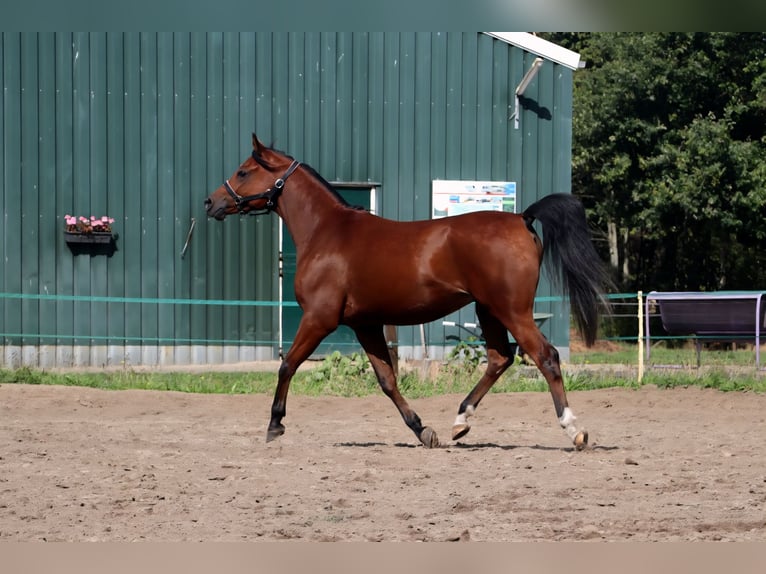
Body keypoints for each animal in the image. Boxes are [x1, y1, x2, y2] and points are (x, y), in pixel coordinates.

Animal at [205, 134, 612, 450]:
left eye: (244, 171)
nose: (212, 202)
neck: (327, 232)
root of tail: (521, 217)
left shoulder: (319, 319)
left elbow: (287, 364)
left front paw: (275, 425)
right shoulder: (365, 325)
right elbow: (387, 380)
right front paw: (423, 430)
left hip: (513, 310)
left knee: (546, 357)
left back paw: (574, 430)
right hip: (489, 310)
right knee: (500, 359)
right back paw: (459, 421)